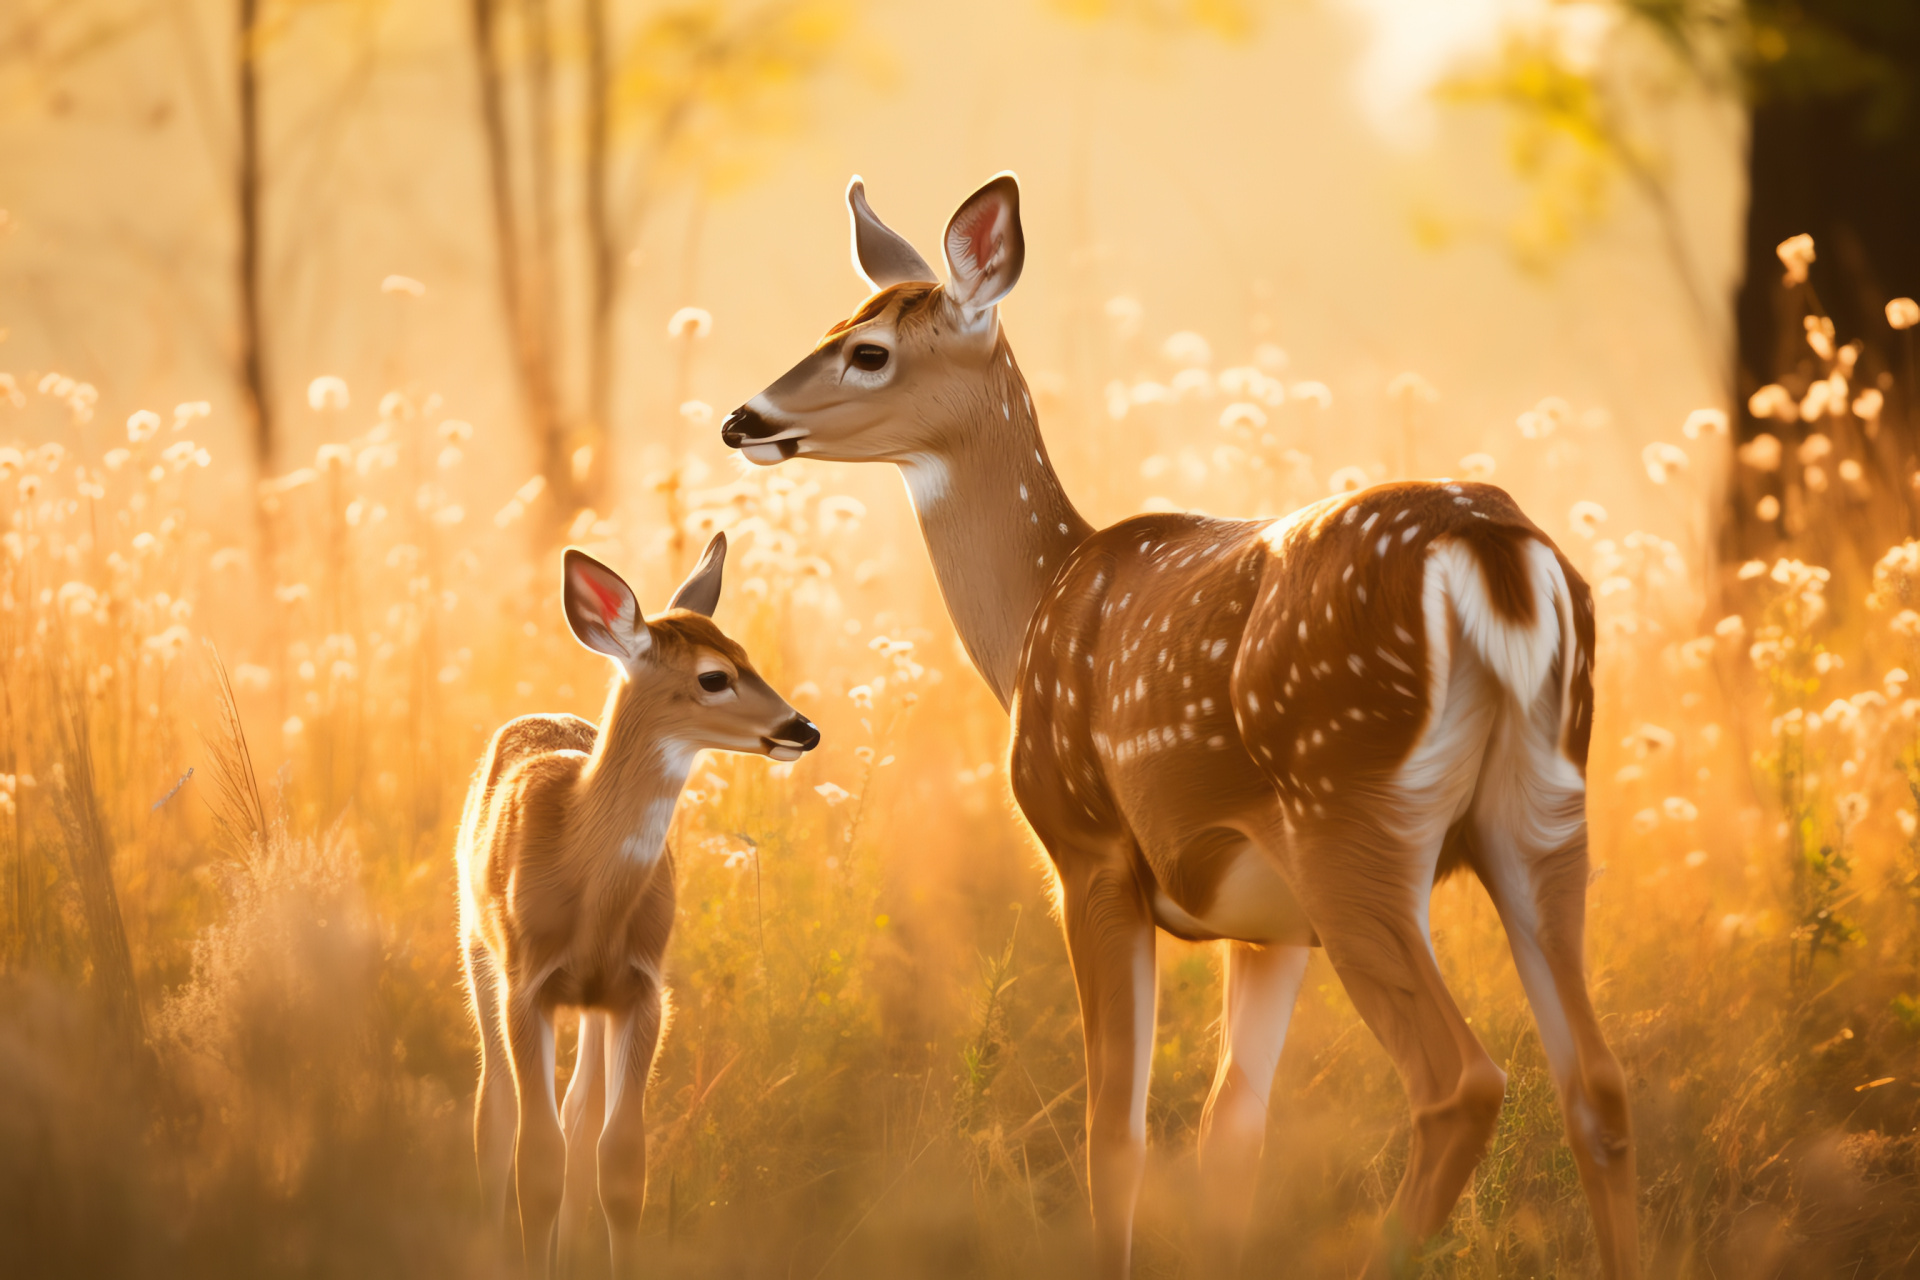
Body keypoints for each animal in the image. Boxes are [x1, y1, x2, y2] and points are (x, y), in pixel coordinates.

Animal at [464, 537, 825, 1274]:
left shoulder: (642, 988)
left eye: (746, 652)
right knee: (496, 1115)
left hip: (593, 1002)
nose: (803, 729)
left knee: (580, 1114)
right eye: (714, 677)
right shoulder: (528, 984)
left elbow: (621, 1164)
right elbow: (535, 1163)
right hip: (477, 948)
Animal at [721, 175, 1635, 1274]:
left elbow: (1114, 1132)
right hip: (1540, 807)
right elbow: (1229, 1130)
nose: (742, 417)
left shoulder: (1090, 850)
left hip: (1351, 810)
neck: (1033, 612)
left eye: (868, 351)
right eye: (834, 324)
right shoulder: (1269, 919)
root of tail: (1495, 552)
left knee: (1461, 1082)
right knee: (1598, 1085)